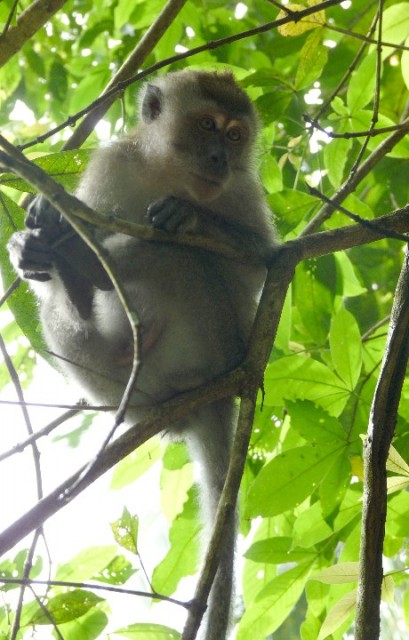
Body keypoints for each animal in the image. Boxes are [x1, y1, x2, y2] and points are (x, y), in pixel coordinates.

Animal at [8, 70, 276, 639]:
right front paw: (39, 230)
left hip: (209, 332)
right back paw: (65, 265)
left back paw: (87, 262)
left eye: (236, 135)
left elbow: (261, 265)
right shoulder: (114, 164)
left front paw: (188, 216)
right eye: (207, 126)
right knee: (65, 311)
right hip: (120, 384)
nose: (220, 158)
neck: (168, 171)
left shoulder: (241, 191)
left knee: (176, 256)